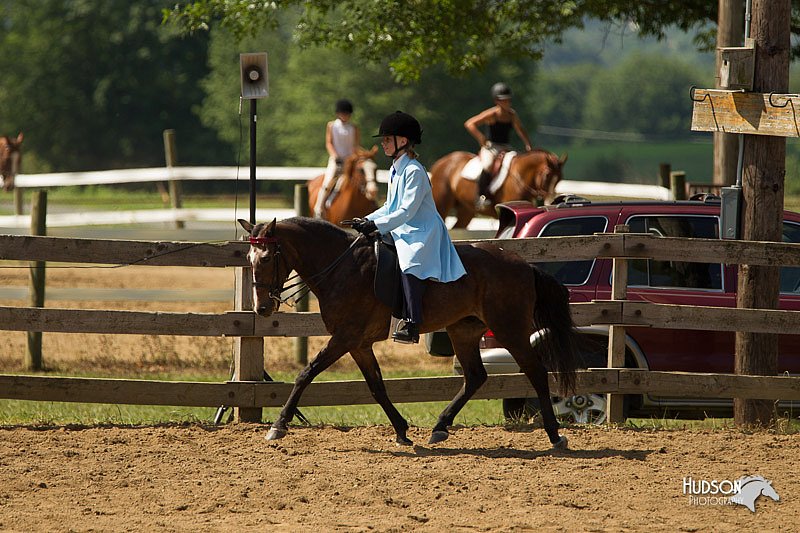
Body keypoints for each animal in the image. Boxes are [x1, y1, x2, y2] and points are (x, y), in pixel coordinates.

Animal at [238, 216, 580, 448]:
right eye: (249, 259)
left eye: (266, 258)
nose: (262, 308)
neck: (342, 267)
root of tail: (524, 265)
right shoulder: (359, 344)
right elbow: (377, 387)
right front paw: (401, 430)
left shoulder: (345, 338)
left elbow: (306, 374)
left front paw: (279, 425)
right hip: (464, 331)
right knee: (475, 377)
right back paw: (440, 426)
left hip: (511, 331)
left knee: (536, 372)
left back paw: (554, 434)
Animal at [432, 149, 568, 228]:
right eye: (547, 175)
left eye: (560, 178)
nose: (550, 201)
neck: (519, 177)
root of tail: (441, 162)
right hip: (442, 205)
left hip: (466, 211)